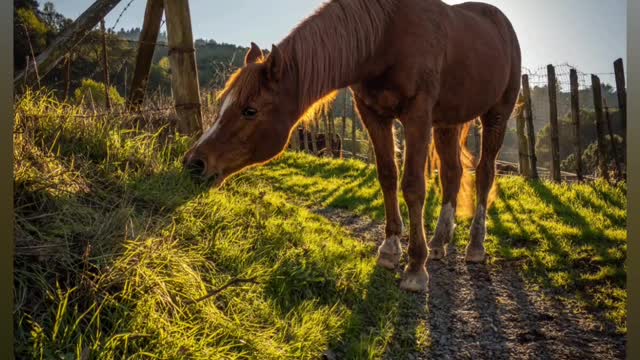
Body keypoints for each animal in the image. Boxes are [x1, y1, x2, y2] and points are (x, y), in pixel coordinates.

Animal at [182, 0, 524, 292]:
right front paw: (390, 249)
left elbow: (413, 186)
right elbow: (387, 176)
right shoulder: (373, 114)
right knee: (452, 173)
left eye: (250, 110)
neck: (387, 38)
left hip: (496, 116)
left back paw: (475, 246)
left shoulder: (417, 116)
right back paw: (439, 242)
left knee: (484, 174)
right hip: (448, 122)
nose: (194, 163)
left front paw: (415, 267)